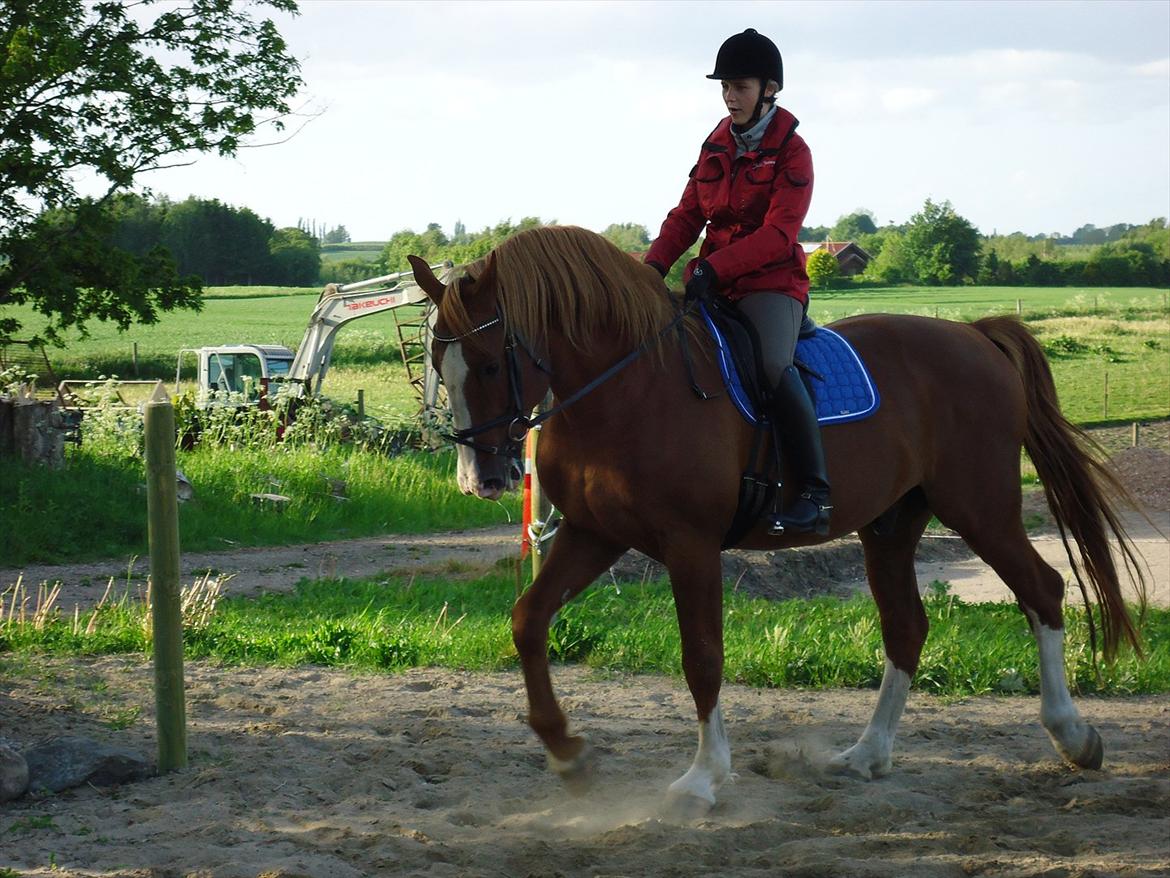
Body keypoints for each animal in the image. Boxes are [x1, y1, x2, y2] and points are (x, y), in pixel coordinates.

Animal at [407, 227, 1146, 819]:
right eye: (437, 365)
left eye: (491, 363)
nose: (480, 479)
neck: (627, 387)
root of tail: (973, 336)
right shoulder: (594, 535)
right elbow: (528, 620)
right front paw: (568, 754)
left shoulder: (691, 546)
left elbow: (702, 658)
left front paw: (704, 779)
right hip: (890, 526)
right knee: (908, 627)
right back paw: (867, 755)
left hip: (981, 507)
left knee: (1042, 591)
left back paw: (1073, 736)